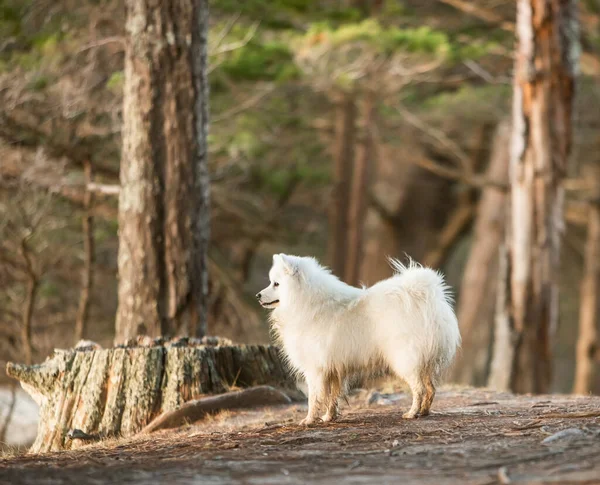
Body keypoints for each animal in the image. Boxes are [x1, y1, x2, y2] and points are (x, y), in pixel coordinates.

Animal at [256, 253, 460, 424]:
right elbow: (332, 397)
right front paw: (329, 417)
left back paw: (412, 413)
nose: (257, 295)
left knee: (419, 389)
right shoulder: (333, 369)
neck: (305, 301)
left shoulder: (315, 369)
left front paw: (309, 420)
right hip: (423, 362)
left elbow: (314, 398)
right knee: (431, 388)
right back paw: (424, 411)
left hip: (405, 360)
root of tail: (425, 297)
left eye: (276, 284)